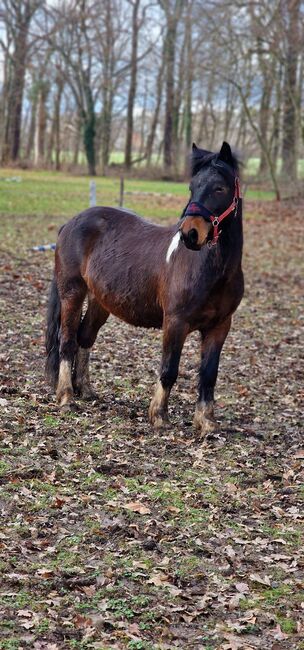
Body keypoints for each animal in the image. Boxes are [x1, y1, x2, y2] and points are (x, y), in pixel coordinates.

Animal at [45, 143, 245, 436]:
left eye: (219, 188)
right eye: (192, 186)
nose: (190, 234)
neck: (211, 270)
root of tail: (71, 223)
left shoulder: (220, 327)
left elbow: (209, 374)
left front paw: (206, 422)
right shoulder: (175, 322)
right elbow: (169, 369)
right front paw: (159, 416)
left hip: (100, 302)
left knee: (85, 338)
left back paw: (86, 390)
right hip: (72, 293)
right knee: (67, 341)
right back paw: (67, 397)